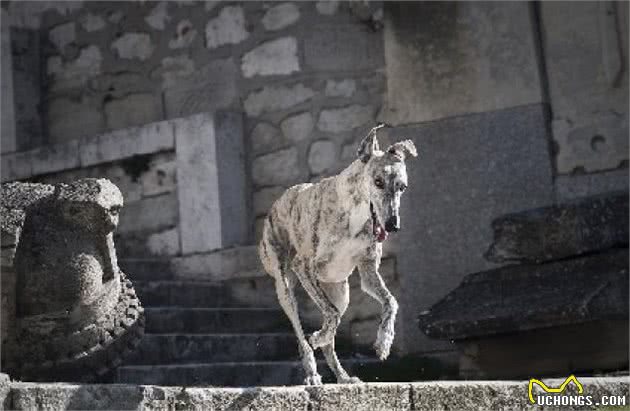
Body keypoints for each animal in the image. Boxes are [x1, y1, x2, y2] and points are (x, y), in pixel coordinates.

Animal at [260, 124, 418, 384]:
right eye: (378, 181)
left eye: (402, 187)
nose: (393, 225)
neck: (354, 213)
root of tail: (276, 204)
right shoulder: (303, 266)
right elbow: (331, 316)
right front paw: (317, 337)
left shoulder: (368, 270)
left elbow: (391, 301)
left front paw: (384, 342)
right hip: (286, 288)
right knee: (303, 334)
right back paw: (312, 372)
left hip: (340, 291)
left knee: (331, 333)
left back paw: (343, 377)